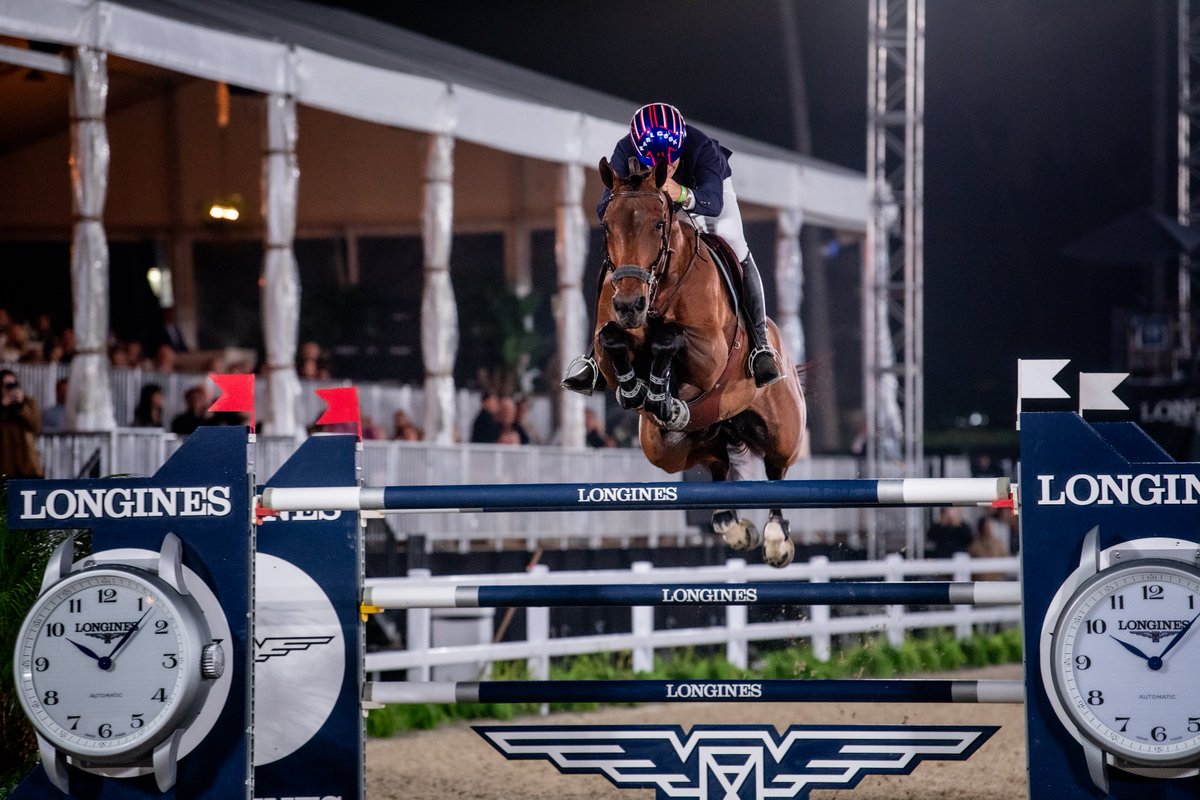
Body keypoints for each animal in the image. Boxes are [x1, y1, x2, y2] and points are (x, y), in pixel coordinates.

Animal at [592, 156, 807, 568]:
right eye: (607, 225)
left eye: (658, 224)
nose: (629, 305)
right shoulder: (608, 342)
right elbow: (612, 339)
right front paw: (638, 391)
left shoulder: (712, 355)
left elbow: (668, 336)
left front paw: (656, 390)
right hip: (667, 448)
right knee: (716, 461)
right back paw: (730, 523)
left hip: (783, 429)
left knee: (777, 469)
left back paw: (776, 539)